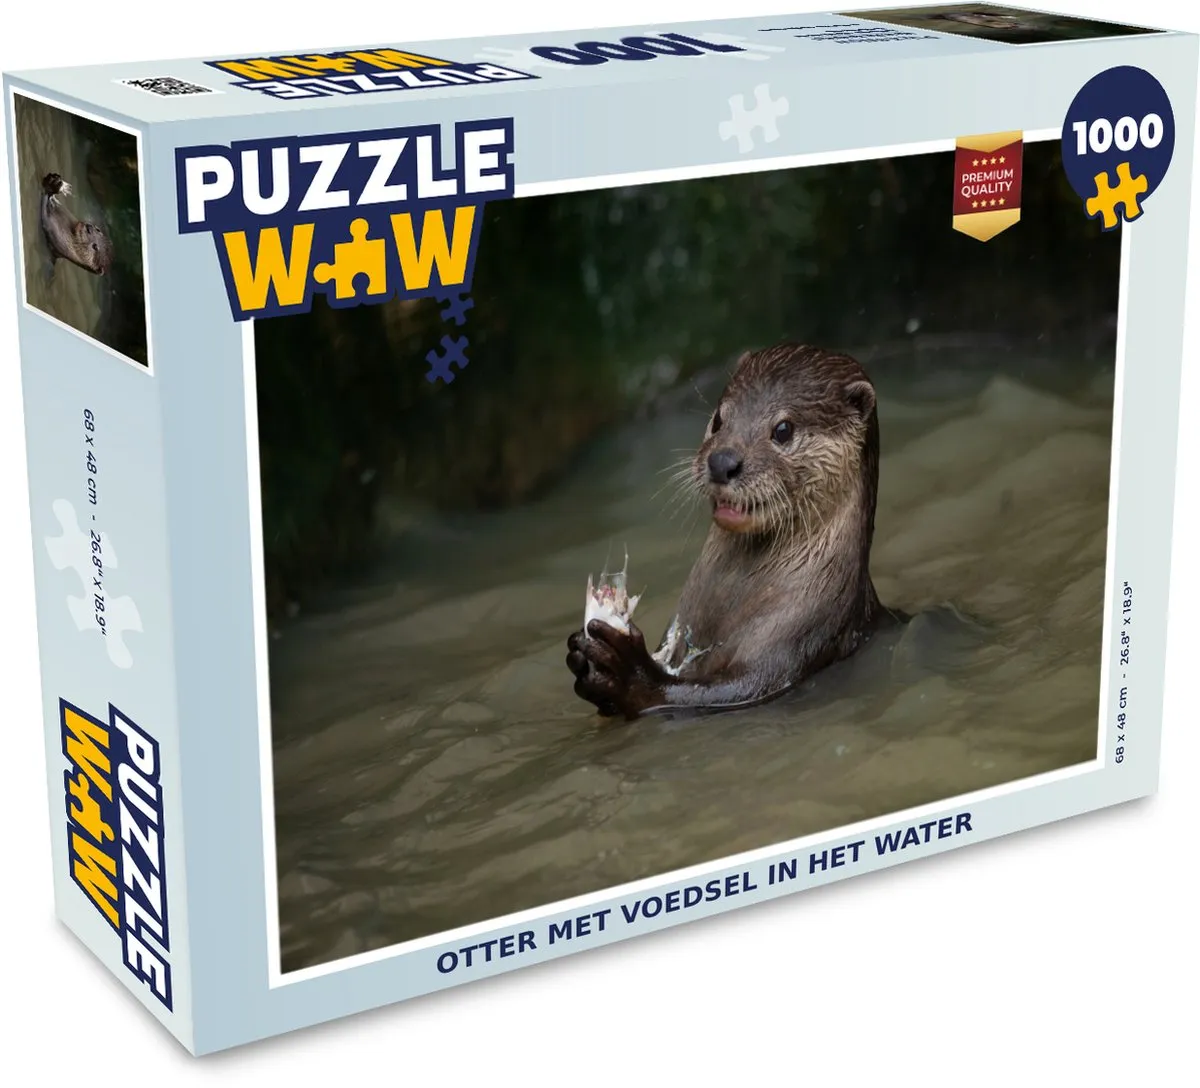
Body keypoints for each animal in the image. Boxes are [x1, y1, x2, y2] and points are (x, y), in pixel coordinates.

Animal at [566, 343, 901, 720]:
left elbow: (727, 690)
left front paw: (628, 673)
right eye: (719, 420)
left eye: (783, 429)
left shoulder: (796, 639)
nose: (722, 461)